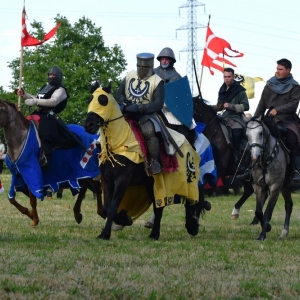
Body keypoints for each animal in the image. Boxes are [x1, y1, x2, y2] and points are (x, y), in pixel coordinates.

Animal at [83, 83, 203, 240]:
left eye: (103, 100)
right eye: (90, 99)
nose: (89, 125)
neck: (119, 144)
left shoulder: (122, 180)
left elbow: (112, 207)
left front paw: (108, 232)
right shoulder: (107, 180)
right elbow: (105, 208)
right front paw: (119, 223)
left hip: (182, 180)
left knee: (191, 200)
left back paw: (192, 226)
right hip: (151, 184)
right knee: (159, 208)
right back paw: (154, 234)